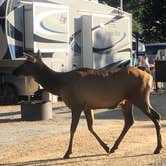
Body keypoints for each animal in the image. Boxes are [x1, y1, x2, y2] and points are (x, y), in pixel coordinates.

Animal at [13, 51, 163, 159]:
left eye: (25, 63)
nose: (14, 71)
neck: (60, 85)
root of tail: (150, 76)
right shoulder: (87, 106)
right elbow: (90, 127)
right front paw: (106, 147)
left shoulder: (76, 105)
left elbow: (73, 129)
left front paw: (68, 152)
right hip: (127, 101)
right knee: (130, 121)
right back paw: (114, 147)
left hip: (140, 97)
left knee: (155, 116)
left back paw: (158, 148)